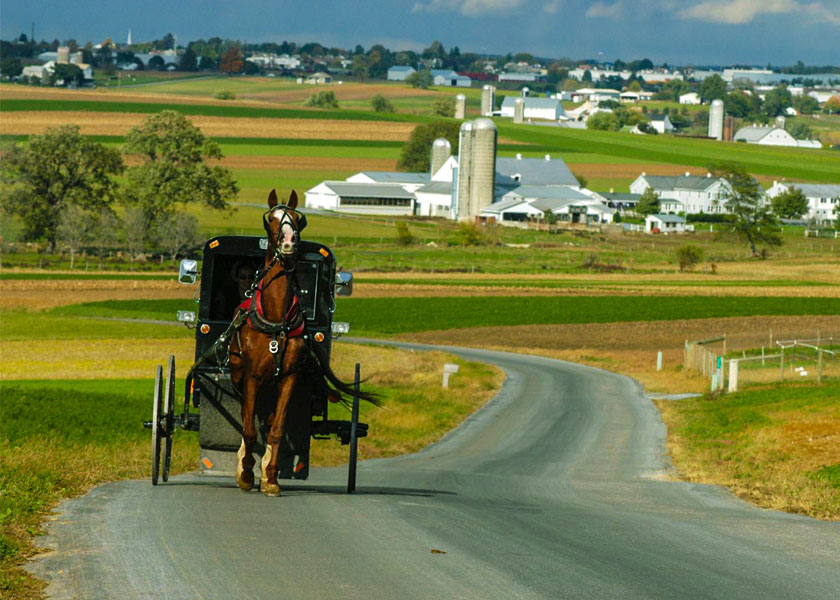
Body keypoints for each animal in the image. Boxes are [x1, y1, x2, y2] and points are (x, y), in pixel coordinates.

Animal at [226, 189, 378, 496]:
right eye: (271, 218)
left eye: (298, 219)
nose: (288, 242)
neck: (275, 319)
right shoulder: (251, 376)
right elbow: (249, 428)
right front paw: (246, 473)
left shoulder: (289, 378)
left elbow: (277, 429)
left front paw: (270, 478)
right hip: (239, 376)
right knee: (248, 416)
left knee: (269, 418)